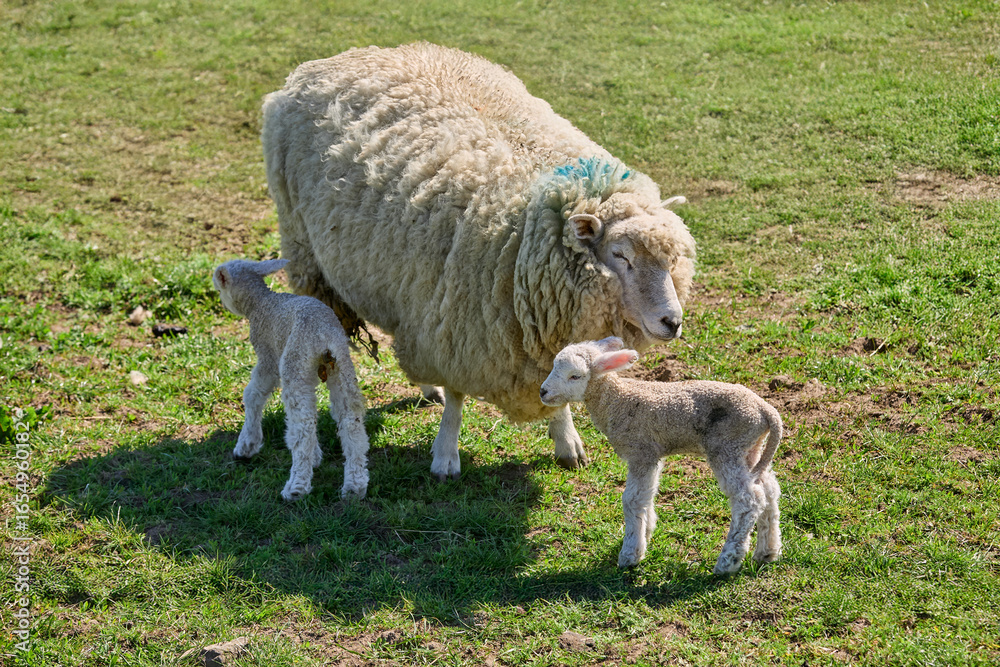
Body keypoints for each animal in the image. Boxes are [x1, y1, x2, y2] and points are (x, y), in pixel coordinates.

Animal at [212, 258, 369, 501]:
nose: (222, 302)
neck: (261, 302)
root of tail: (323, 335)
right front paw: (317, 457)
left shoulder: (268, 356)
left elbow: (253, 394)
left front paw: (247, 444)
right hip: (341, 366)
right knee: (350, 420)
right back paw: (355, 486)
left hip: (295, 363)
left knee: (302, 426)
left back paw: (296, 487)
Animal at [261, 42, 697, 481]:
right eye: (621, 256)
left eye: (672, 259)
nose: (672, 322)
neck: (525, 237)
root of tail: (344, 56)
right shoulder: (457, 323)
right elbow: (457, 397)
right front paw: (445, 454)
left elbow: (558, 387)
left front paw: (566, 441)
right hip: (308, 253)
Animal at [539, 338, 782, 574]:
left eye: (575, 376)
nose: (543, 392)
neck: (615, 401)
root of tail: (765, 410)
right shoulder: (653, 454)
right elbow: (648, 495)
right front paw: (645, 535)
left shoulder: (641, 451)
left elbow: (632, 499)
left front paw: (630, 554)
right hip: (749, 448)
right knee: (769, 491)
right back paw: (767, 552)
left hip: (727, 445)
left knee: (748, 500)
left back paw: (727, 562)